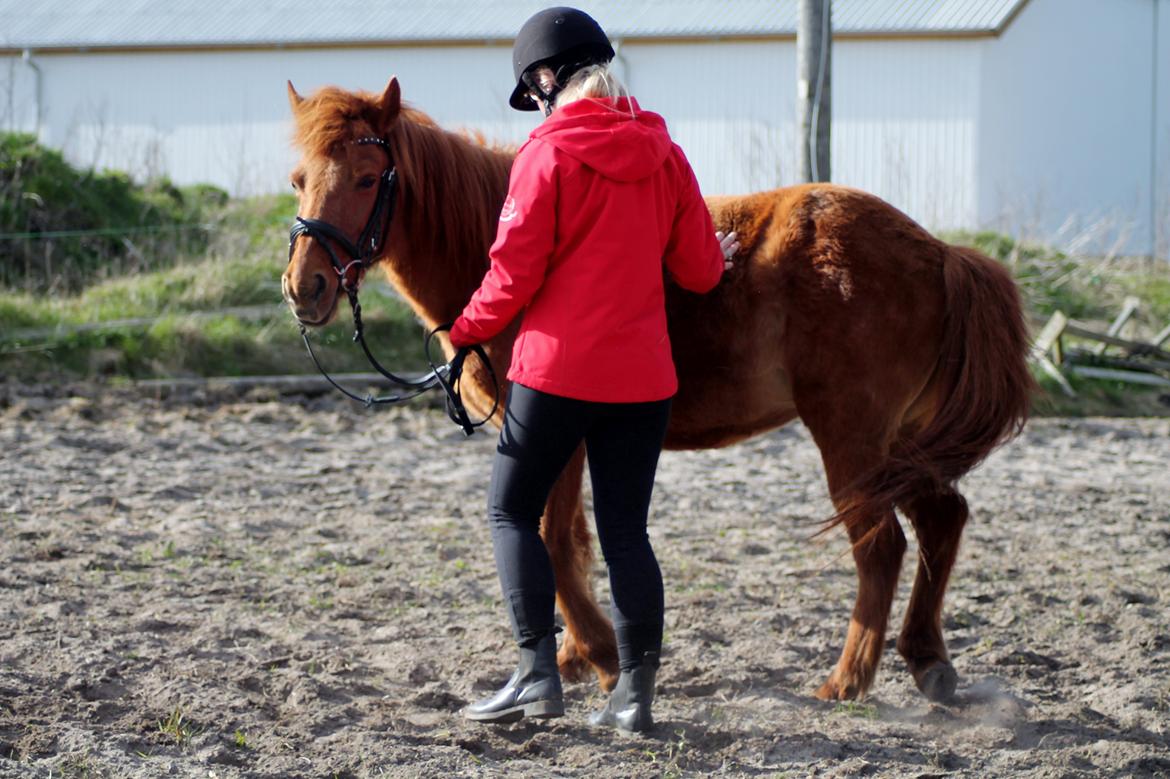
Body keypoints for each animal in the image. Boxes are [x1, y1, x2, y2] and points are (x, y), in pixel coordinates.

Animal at [283, 76, 1034, 701]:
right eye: (299, 180)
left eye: (367, 177)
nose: (304, 286)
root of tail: (939, 255)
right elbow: (572, 540)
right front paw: (581, 656)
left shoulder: (548, 435)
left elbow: (553, 540)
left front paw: (597, 654)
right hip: (899, 447)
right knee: (942, 522)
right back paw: (927, 660)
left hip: (852, 440)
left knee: (881, 548)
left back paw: (847, 680)